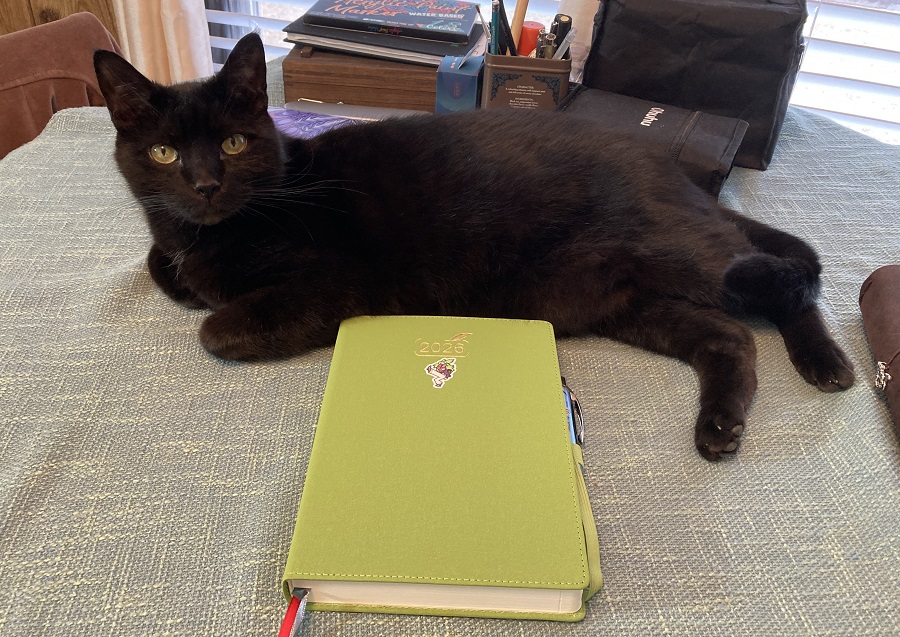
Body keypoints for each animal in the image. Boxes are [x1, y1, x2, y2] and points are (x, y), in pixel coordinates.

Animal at [93, 33, 854, 461]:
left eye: (231, 142)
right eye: (163, 153)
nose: (204, 184)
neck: (210, 231)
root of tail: (674, 170)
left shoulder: (326, 286)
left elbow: (215, 328)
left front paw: (210, 305)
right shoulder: (171, 242)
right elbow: (159, 266)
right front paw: (177, 270)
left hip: (683, 255)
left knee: (791, 278)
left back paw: (827, 364)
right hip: (625, 301)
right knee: (731, 335)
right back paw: (721, 425)